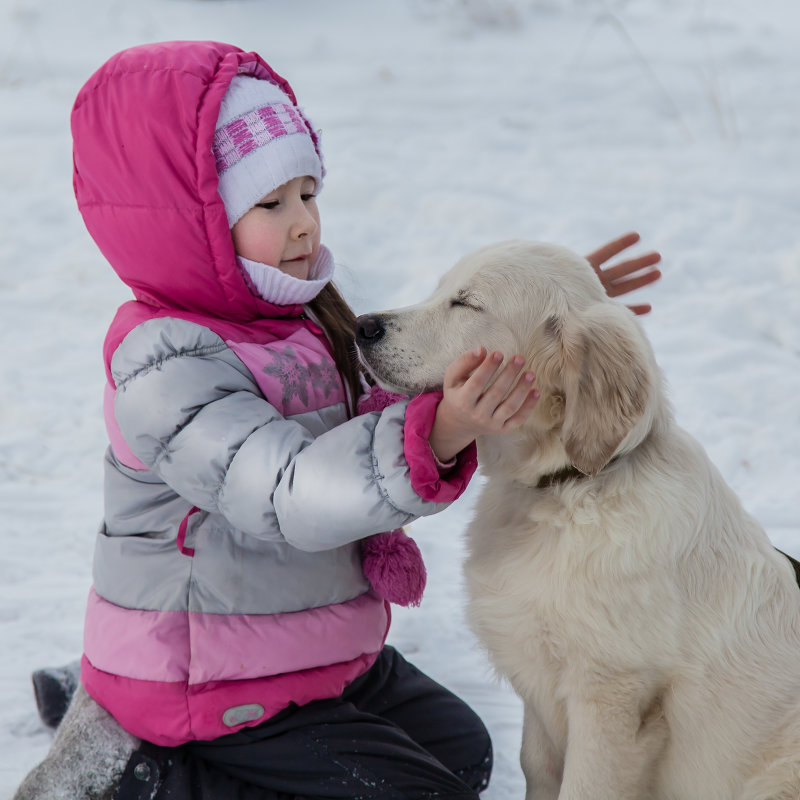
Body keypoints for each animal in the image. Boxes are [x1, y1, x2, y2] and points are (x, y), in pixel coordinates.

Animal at [356, 241, 800, 800]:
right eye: (441, 289)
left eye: (467, 303)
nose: (362, 325)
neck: (569, 487)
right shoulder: (540, 695)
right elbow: (537, 768)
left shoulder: (610, 699)